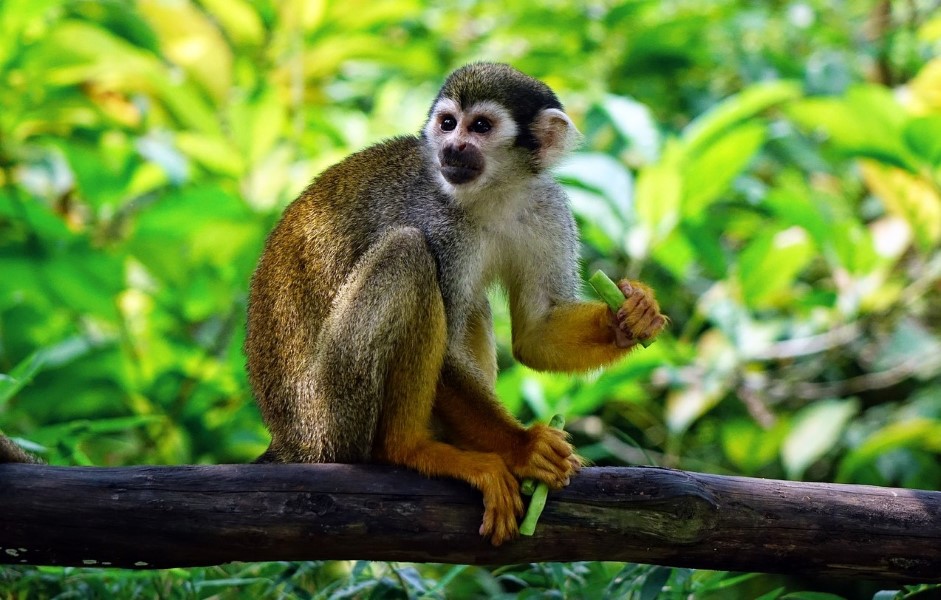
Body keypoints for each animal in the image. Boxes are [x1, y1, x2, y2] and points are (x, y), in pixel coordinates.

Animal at [246, 63, 664, 548]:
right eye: (448, 123)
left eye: (480, 126)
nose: (452, 147)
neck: (493, 194)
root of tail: (289, 440)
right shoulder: (437, 221)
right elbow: (445, 355)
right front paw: (523, 447)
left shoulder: (547, 208)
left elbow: (536, 334)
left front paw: (630, 316)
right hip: (331, 415)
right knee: (409, 254)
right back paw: (410, 449)